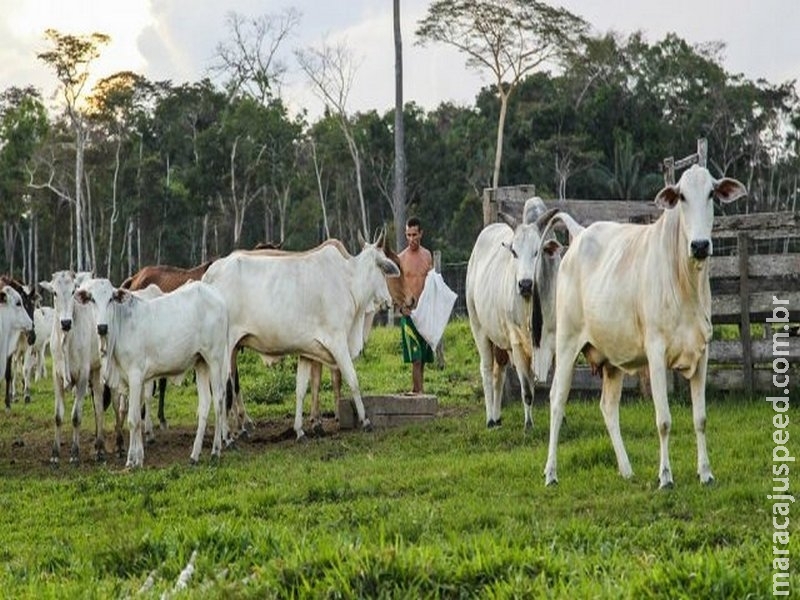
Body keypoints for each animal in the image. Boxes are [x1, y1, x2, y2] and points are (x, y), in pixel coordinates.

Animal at [39, 272, 107, 464]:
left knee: (99, 406)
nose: (65, 323)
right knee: (97, 404)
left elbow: (76, 416)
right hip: (93, 371)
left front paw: (75, 453)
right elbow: (58, 416)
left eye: (72, 291)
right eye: (54, 292)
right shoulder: (56, 376)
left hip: (98, 369)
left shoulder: (83, 375)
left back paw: (100, 448)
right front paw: (55, 454)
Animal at [77, 278, 231, 468]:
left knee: (218, 400)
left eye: (111, 299)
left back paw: (215, 451)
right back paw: (194, 455)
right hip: (200, 362)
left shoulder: (135, 375)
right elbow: (135, 417)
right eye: (91, 299)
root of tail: (218, 297)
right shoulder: (132, 381)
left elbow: (133, 419)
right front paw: (139, 456)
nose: (102, 327)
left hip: (215, 359)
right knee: (205, 403)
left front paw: (131, 460)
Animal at [200, 234, 400, 440]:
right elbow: (353, 380)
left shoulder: (307, 351)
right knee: (223, 389)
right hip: (225, 348)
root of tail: (210, 274)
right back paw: (228, 436)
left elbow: (301, 389)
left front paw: (300, 430)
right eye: (384, 270)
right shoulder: (338, 342)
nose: (389, 301)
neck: (348, 280)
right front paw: (365, 421)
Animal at [462, 202, 564, 432]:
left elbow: (557, 385)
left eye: (537, 251)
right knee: (486, 370)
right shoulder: (517, 344)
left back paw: (498, 417)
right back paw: (490, 419)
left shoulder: (555, 342)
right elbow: (527, 390)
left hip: (501, 341)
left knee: (499, 373)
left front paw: (562, 420)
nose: (525, 284)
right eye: (515, 252)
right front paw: (528, 426)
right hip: (478, 328)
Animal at [540, 164, 748, 488]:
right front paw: (665, 477)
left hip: (611, 360)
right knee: (557, 400)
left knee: (608, 407)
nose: (700, 245)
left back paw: (626, 469)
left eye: (712, 194)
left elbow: (700, 419)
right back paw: (551, 473)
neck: (685, 282)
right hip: (566, 343)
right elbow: (663, 421)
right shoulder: (656, 352)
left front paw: (706, 473)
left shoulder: (702, 353)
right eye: (682, 197)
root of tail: (580, 233)